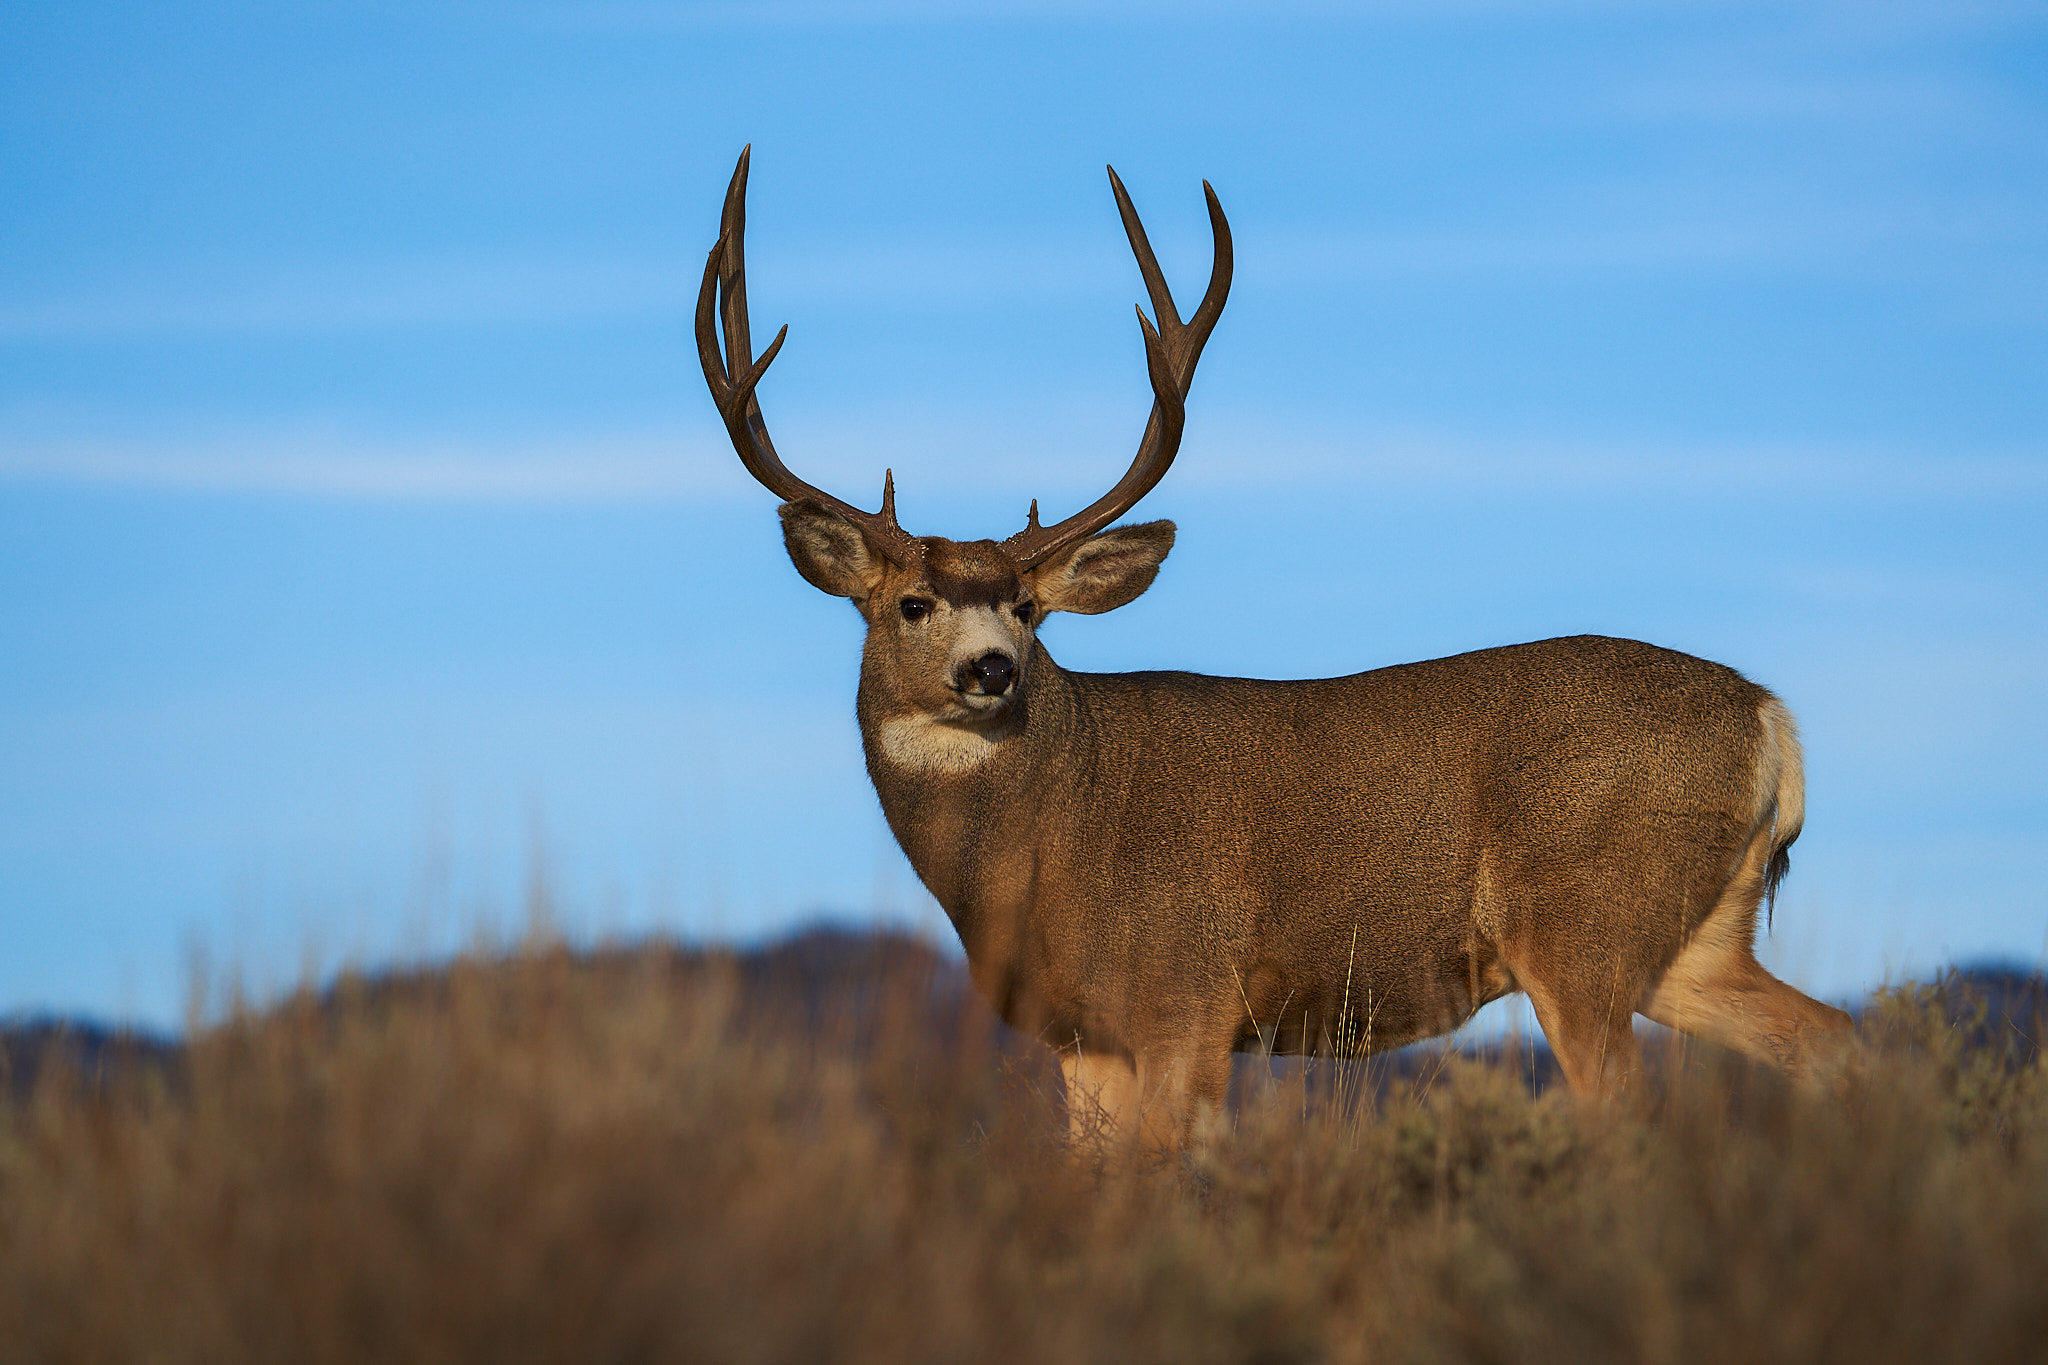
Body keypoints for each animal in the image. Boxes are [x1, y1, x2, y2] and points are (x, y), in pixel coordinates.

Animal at [694, 147, 1855, 1148]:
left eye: (1028, 609)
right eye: (911, 604)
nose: (992, 669)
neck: (1046, 839)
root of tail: (1769, 716)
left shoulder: (1186, 995)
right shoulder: (1083, 1036)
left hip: (1583, 925)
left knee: (1632, 1109)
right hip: (1692, 942)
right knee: (1831, 1037)